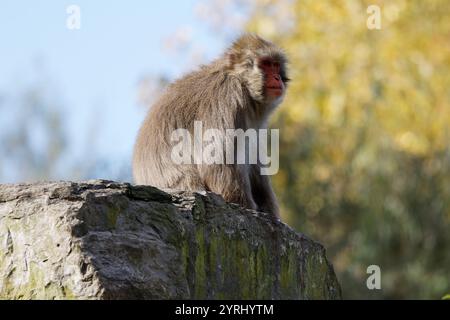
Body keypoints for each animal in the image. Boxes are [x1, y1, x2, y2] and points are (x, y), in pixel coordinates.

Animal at [132, 34, 290, 220]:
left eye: (276, 65)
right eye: (265, 64)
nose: (277, 78)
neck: (241, 82)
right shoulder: (228, 96)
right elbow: (217, 163)